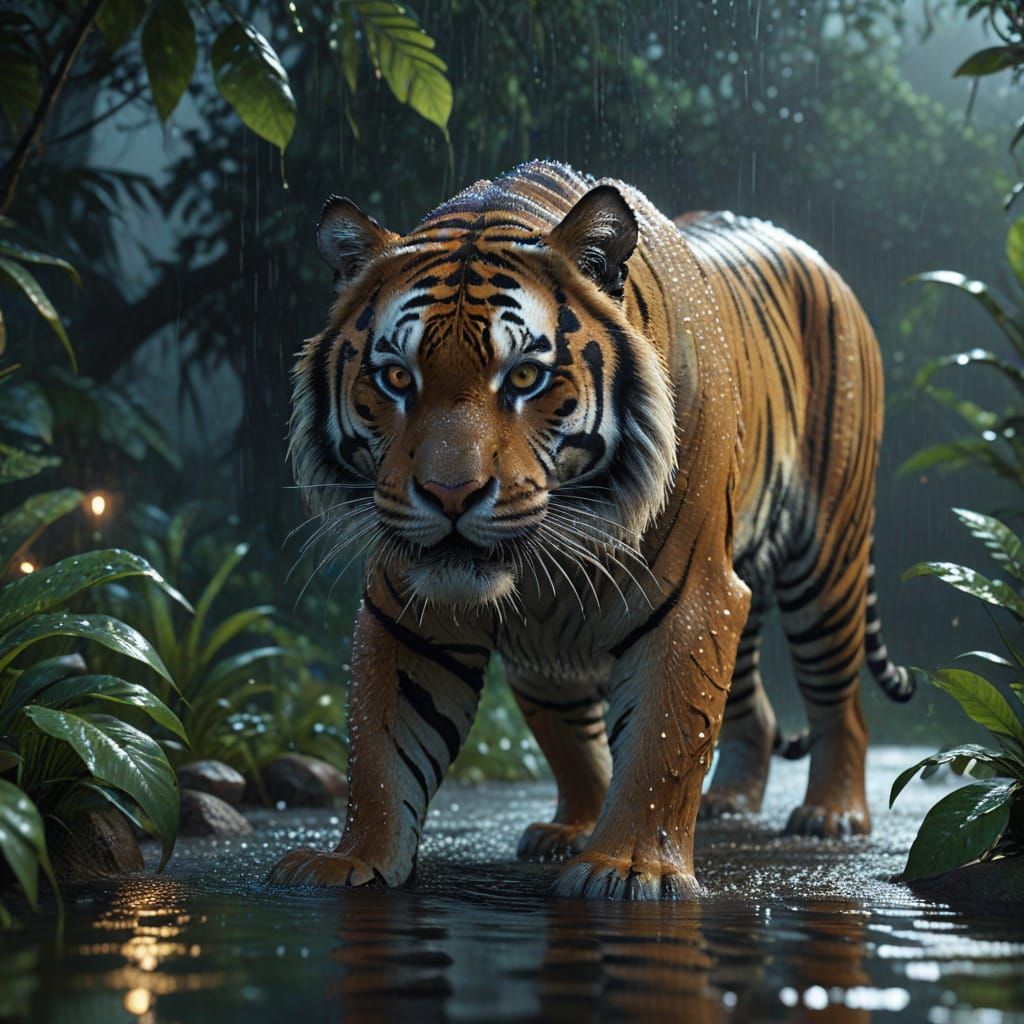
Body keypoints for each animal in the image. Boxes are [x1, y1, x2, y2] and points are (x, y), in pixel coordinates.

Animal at [268, 160, 914, 901]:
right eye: (397, 378)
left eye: (524, 375)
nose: (450, 494)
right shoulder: (407, 610)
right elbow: (385, 748)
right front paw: (352, 860)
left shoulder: (695, 595)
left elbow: (663, 738)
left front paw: (632, 867)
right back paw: (698, 807)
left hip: (826, 565)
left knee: (840, 704)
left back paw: (831, 814)